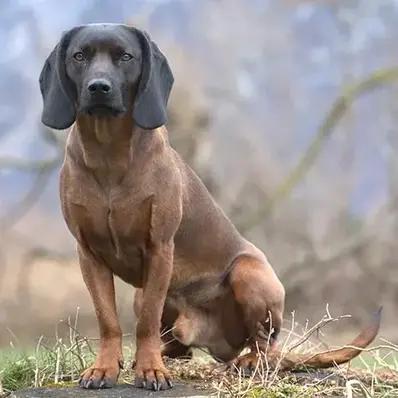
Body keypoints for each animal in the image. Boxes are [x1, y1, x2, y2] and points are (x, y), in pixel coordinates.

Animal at [38, 24, 380, 392]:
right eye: (79, 56)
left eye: (126, 56)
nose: (99, 87)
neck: (109, 154)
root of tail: (217, 343)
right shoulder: (89, 254)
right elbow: (108, 320)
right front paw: (105, 367)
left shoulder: (159, 248)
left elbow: (145, 324)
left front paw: (150, 370)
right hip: (144, 295)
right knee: (180, 348)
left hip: (248, 274)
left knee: (267, 347)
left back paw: (249, 360)